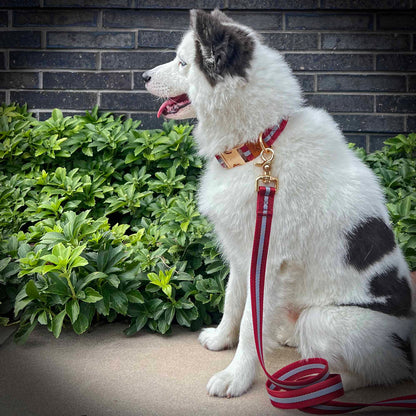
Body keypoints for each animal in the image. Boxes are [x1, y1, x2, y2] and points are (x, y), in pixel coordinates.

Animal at [144, 8, 416, 396]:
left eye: (183, 63)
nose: (144, 76)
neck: (258, 145)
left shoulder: (269, 260)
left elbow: (249, 325)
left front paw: (236, 377)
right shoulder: (243, 250)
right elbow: (233, 301)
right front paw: (221, 339)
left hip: (325, 318)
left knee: (385, 371)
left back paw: (324, 381)